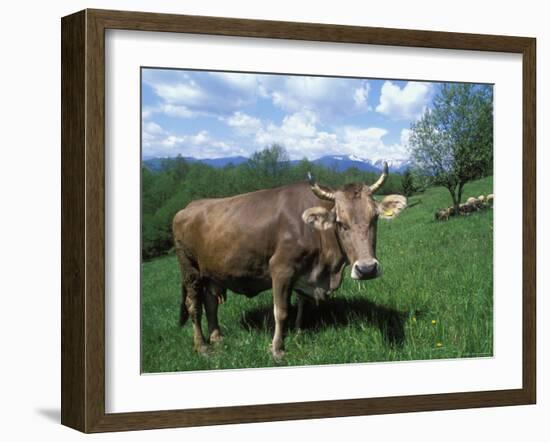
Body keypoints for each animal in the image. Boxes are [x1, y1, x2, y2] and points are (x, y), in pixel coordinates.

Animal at [174, 162, 410, 360]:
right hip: (190, 269)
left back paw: (217, 337)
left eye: (374, 218)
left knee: (211, 302)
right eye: (341, 223)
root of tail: (188, 207)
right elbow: (281, 311)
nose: (367, 269)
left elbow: (302, 303)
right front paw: (277, 349)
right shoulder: (281, 269)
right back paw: (202, 346)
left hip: (212, 273)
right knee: (194, 306)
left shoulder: (305, 273)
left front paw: (298, 332)